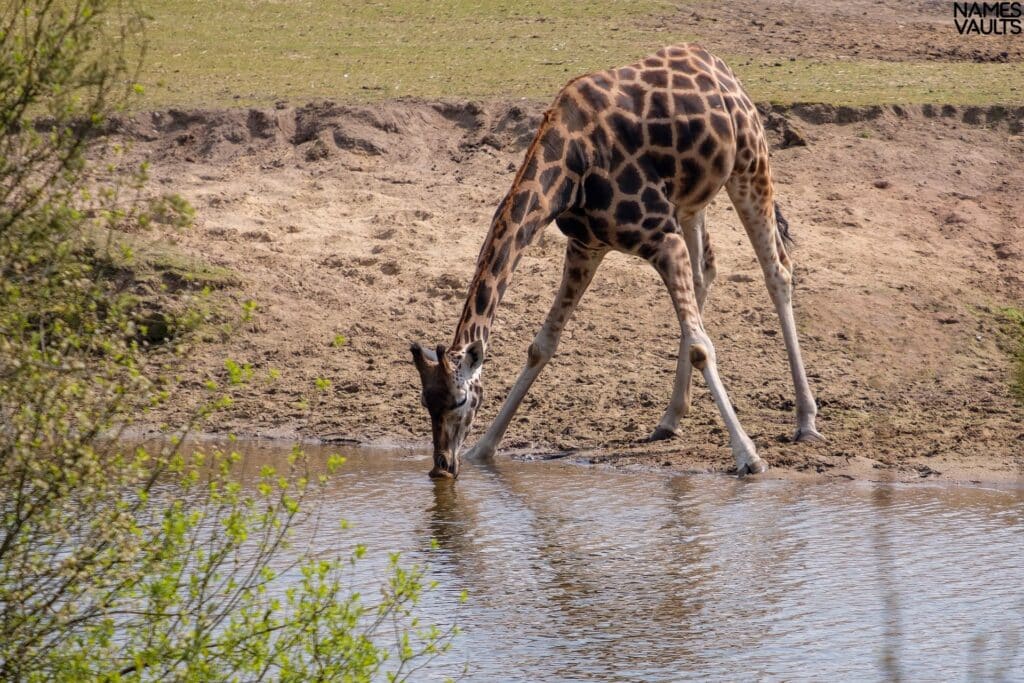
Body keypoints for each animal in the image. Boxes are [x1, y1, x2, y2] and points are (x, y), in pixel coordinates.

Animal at [411, 42, 819, 481]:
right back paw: (670, 418)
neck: (571, 166)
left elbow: (701, 347)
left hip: (750, 165)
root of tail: (715, 63)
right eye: (425, 401)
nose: (442, 467)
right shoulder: (586, 246)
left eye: (459, 400)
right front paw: (484, 449)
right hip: (689, 202)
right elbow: (542, 344)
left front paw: (749, 456)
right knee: (704, 271)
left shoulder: (661, 239)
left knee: (777, 271)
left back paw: (806, 421)